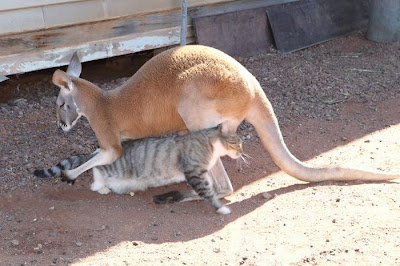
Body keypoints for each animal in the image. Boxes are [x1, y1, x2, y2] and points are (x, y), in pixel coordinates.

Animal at [33, 126, 241, 214]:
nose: (242, 152)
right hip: (111, 166)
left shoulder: (203, 173)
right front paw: (221, 208)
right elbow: (208, 193)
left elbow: (212, 189)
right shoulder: (194, 173)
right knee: (95, 169)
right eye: (237, 143)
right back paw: (99, 185)